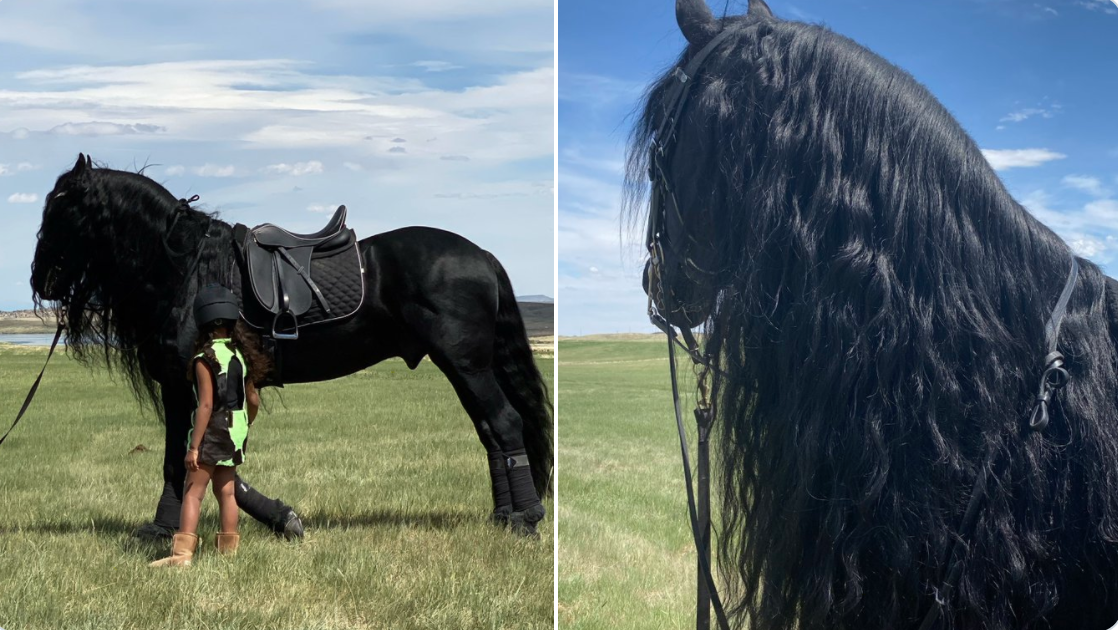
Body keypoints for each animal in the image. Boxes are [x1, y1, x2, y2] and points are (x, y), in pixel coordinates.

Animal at [29, 155, 552, 539]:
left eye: (60, 209)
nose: (39, 280)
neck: (188, 269)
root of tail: (481, 255)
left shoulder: (184, 385)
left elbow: (183, 456)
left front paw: (164, 529)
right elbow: (209, 458)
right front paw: (276, 518)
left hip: (466, 364)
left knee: (505, 423)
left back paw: (524, 519)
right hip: (465, 367)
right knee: (491, 431)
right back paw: (503, 516)